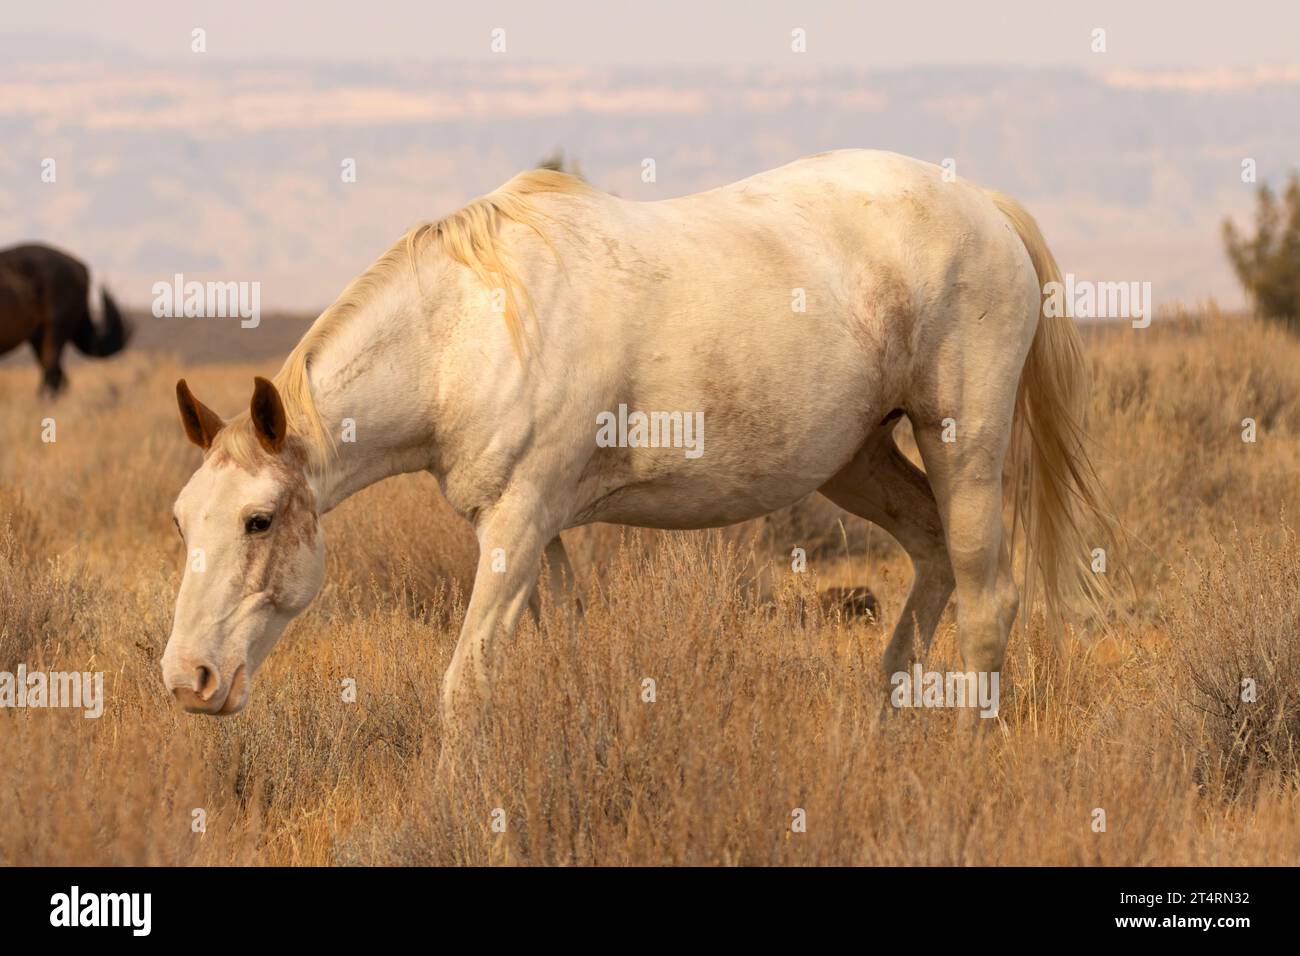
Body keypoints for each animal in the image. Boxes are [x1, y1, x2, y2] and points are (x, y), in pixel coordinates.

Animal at [165, 149, 1118, 717]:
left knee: (987, 598)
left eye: (257, 520)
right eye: (182, 520)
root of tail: (983, 204)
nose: (188, 679)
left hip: (964, 444)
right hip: (858, 459)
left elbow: (467, 683)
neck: (467, 328)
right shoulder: (538, 535)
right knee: (930, 557)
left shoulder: (516, 528)